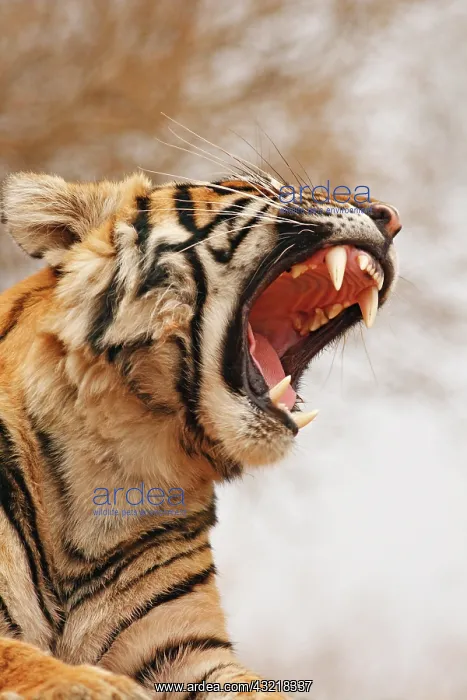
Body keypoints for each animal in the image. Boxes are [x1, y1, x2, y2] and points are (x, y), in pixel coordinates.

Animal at [0, 168, 400, 699]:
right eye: (253, 188)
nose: (390, 217)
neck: (118, 464)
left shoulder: (188, 651)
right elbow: (23, 657)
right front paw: (97, 685)